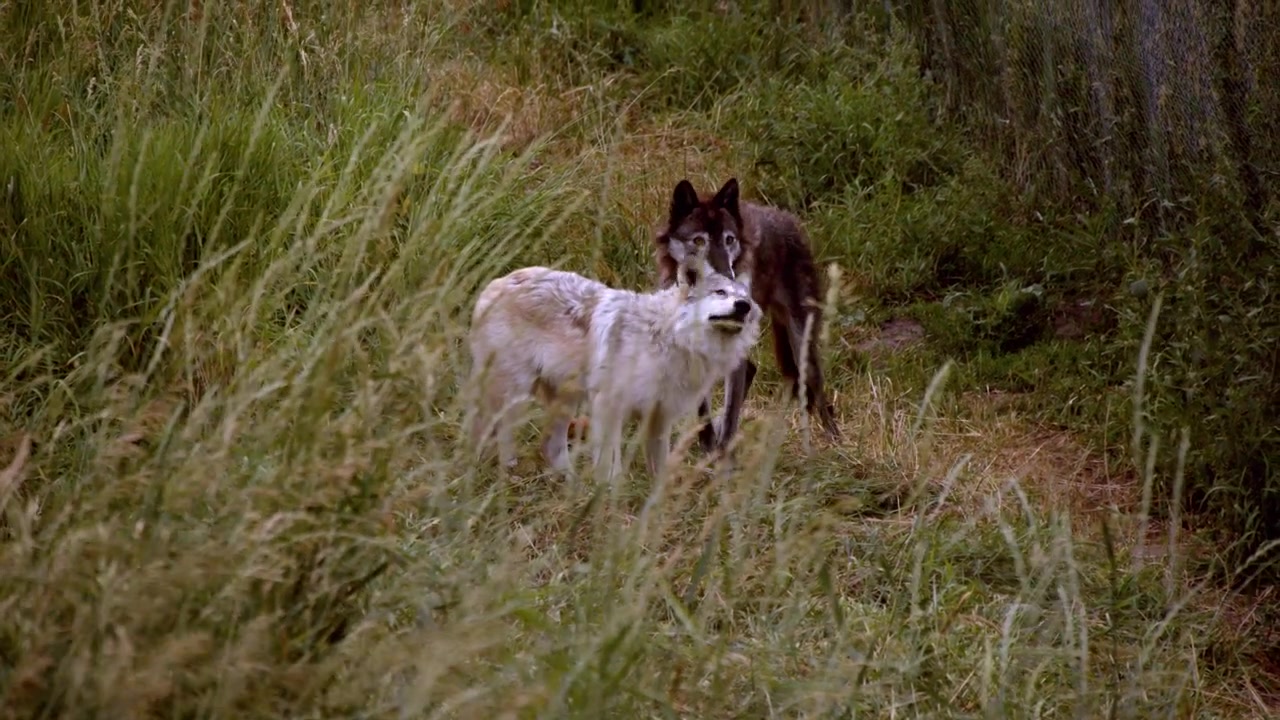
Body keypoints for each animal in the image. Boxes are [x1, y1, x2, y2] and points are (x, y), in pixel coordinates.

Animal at [466, 260, 763, 482]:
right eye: (720, 293)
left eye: (744, 298)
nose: (743, 306)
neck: (669, 340)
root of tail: (497, 283)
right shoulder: (609, 406)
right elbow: (611, 466)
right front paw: (609, 501)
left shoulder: (660, 415)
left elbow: (659, 468)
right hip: (513, 397)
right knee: (491, 434)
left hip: (566, 402)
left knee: (550, 446)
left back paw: (571, 486)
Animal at [654, 177, 841, 453]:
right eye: (699, 241)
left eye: (729, 239)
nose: (728, 277)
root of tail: (786, 217)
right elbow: (702, 411)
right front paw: (708, 446)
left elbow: (731, 415)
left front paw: (721, 456)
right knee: (753, 369)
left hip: (802, 344)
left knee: (817, 390)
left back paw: (835, 441)